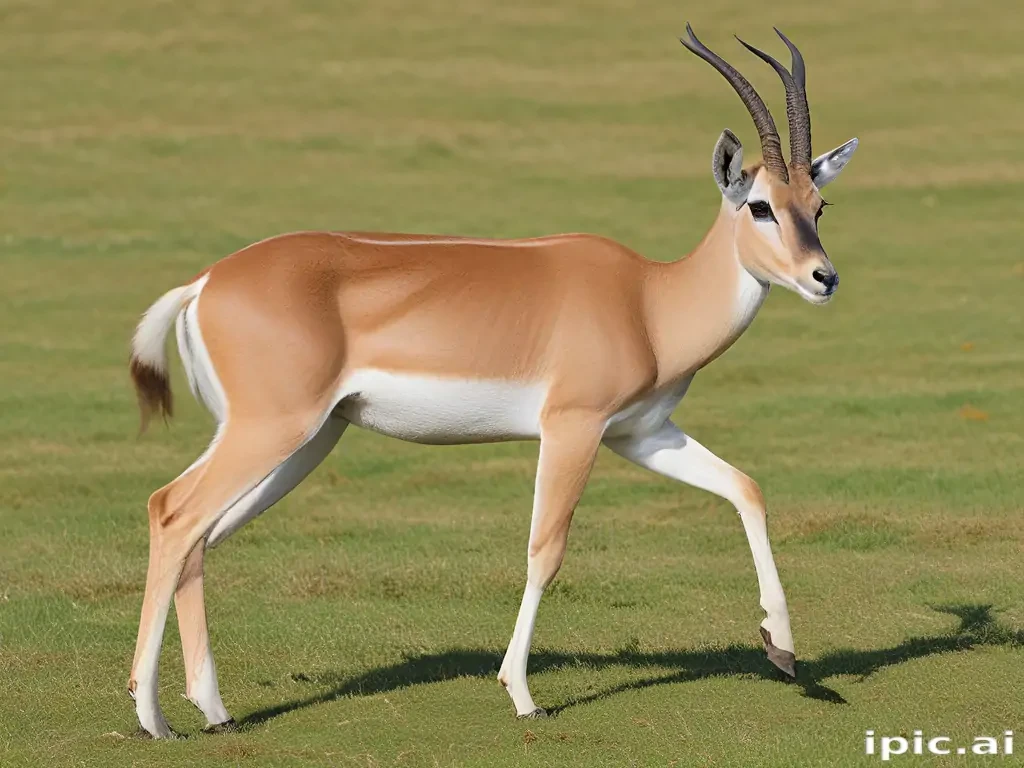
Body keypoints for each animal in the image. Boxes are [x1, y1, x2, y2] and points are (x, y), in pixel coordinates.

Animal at [127, 25, 858, 737]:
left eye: (818, 204)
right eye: (760, 206)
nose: (823, 277)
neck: (650, 302)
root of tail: (205, 282)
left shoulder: (642, 434)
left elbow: (746, 488)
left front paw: (782, 649)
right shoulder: (573, 429)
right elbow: (545, 549)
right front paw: (522, 694)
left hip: (306, 440)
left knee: (200, 535)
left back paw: (214, 711)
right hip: (272, 430)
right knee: (172, 511)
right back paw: (153, 717)